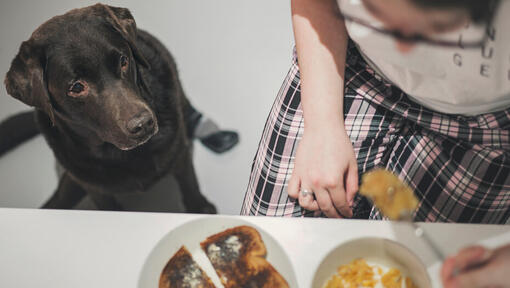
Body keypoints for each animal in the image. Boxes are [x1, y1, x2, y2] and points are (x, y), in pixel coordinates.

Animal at [4, 3, 218, 213]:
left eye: (123, 61)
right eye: (77, 87)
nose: (144, 124)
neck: (118, 154)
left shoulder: (179, 152)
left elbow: (189, 183)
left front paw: (201, 208)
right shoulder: (93, 187)